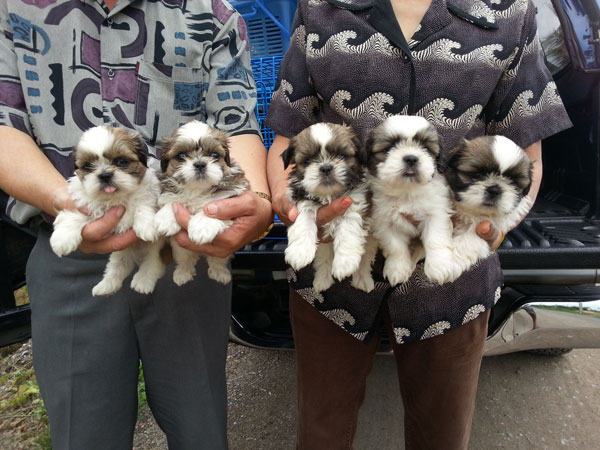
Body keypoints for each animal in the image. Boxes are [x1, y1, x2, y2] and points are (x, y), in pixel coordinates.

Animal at [49, 126, 163, 296]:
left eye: (121, 161)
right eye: (88, 165)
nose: (104, 175)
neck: (115, 198)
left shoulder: (149, 194)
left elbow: (142, 204)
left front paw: (146, 227)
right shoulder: (88, 205)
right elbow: (74, 216)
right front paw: (63, 239)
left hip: (155, 249)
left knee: (153, 262)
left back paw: (143, 281)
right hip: (121, 252)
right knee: (119, 266)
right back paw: (106, 286)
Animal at [154, 120, 248, 285]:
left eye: (215, 155)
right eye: (181, 156)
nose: (199, 164)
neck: (197, 189)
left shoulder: (232, 192)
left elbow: (214, 203)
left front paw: (201, 227)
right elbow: (172, 200)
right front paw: (165, 219)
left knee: (218, 260)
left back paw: (220, 273)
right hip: (181, 249)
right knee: (185, 259)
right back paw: (183, 273)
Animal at [282, 123, 374, 292]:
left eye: (342, 156)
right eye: (307, 160)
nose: (325, 167)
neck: (329, 195)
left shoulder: (355, 203)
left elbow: (348, 228)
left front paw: (345, 263)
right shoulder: (303, 201)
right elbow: (304, 220)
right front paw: (299, 252)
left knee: (365, 257)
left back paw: (363, 279)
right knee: (323, 258)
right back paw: (322, 280)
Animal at [366, 115, 461, 286]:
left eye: (426, 148)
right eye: (388, 148)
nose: (411, 158)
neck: (407, 192)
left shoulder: (436, 212)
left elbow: (435, 239)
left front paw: (439, 266)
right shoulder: (384, 221)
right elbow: (395, 246)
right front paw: (397, 268)